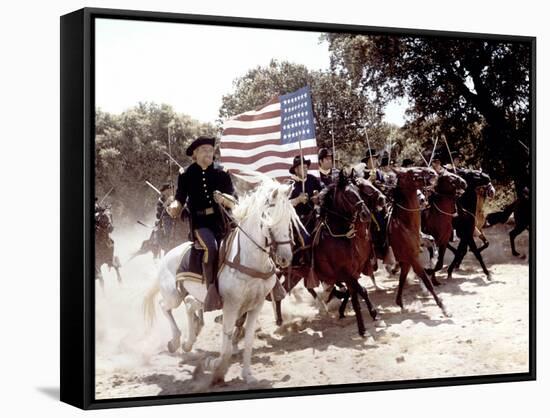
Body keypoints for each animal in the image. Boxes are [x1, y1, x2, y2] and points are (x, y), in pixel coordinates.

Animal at [142, 178, 302, 384]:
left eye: (289, 219)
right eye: (269, 220)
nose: (285, 257)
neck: (248, 259)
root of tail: (168, 255)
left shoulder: (255, 305)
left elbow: (248, 340)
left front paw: (247, 375)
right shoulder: (231, 306)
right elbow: (226, 344)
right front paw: (215, 366)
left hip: (198, 297)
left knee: (189, 304)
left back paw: (187, 343)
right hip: (173, 295)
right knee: (165, 305)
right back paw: (176, 341)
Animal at [390, 167, 450, 316]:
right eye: (411, 171)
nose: (433, 172)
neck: (404, 225)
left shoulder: (407, 260)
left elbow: (402, 279)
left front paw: (400, 304)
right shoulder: (412, 258)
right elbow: (426, 279)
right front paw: (443, 308)